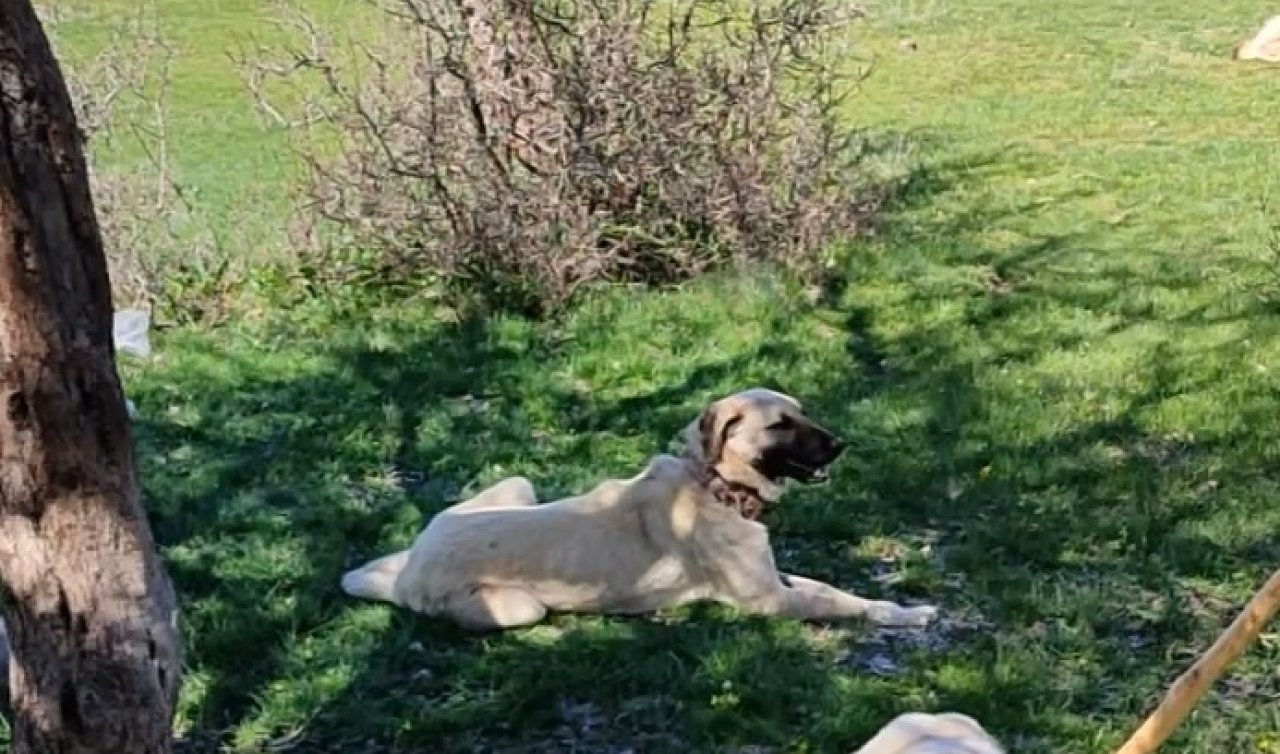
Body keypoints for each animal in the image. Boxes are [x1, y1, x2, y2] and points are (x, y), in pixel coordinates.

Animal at [340, 389, 942, 629]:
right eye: (781, 425)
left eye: (805, 412)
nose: (840, 445)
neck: (714, 485)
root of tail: (413, 570)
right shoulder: (771, 601)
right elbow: (840, 603)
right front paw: (906, 616)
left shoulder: (779, 579)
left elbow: (834, 588)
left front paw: (900, 608)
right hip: (520, 608)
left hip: (516, 485)